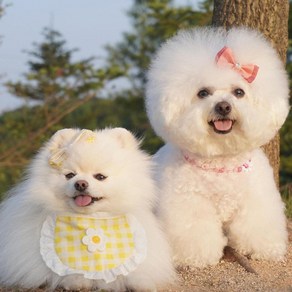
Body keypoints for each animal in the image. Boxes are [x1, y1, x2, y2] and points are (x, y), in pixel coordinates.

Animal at [0, 128, 173, 290]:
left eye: (100, 177)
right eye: (70, 175)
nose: (81, 183)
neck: (93, 219)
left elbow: (136, 271)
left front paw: (141, 282)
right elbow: (68, 271)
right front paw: (76, 281)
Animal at [146, 26, 290, 266]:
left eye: (239, 92)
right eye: (203, 92)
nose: (223, 106)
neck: (221, 158)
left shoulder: (255, 200)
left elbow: (256, 226)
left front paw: (262, 249)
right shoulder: (190, 204)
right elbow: (195, 230)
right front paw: (195, 257)